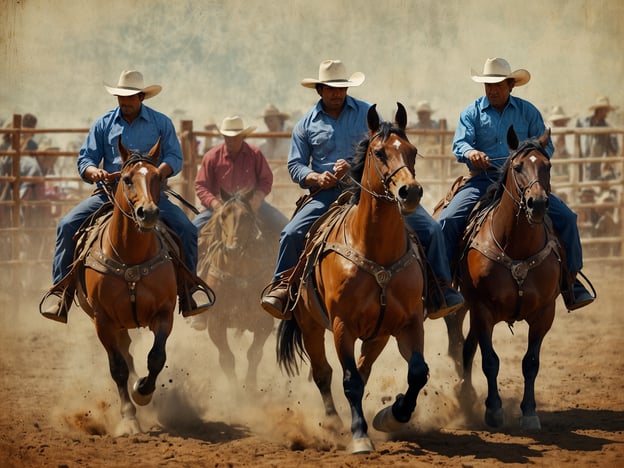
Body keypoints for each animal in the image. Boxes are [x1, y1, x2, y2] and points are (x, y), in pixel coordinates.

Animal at [76, 138, 178, 436]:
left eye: (158, 177)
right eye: (126, 179)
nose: (149, 213)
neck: (130, 256)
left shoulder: (164, 312)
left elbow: (156, 357)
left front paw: (142, 390)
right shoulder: (103, 320)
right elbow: (118, 367)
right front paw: (129, 419)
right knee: (124, 355)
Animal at [193, 188, 276, 390]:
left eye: (246, 216)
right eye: (223, 215)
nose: (232, 249)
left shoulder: (265, 322)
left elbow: (254, 354)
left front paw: (251, 388)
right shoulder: (216, 322)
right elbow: (226, 359)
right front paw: (237, 393)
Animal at [276, 103, 428, 454]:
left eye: (412, 151)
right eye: (379, 152)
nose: (410, 192)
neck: (375, 250)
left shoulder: (409, 321)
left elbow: (417, 372)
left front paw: (392, 414)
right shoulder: (342, 325)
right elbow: (349, 381)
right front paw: (359, 435)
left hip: (378, 334)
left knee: (364, 368)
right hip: (310, 324)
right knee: (323, 373)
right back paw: (333, 423)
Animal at [444, 127, 560, 432]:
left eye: (547, 165)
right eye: (518, 167)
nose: (537, 203)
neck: (516, 246)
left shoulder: (545, 313)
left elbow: (531, 362)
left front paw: (529, 413)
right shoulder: (483, 309)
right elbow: (490, 361)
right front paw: (494, 410)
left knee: (467, 346)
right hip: (464, 304)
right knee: (459, 341)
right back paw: (465, 393)